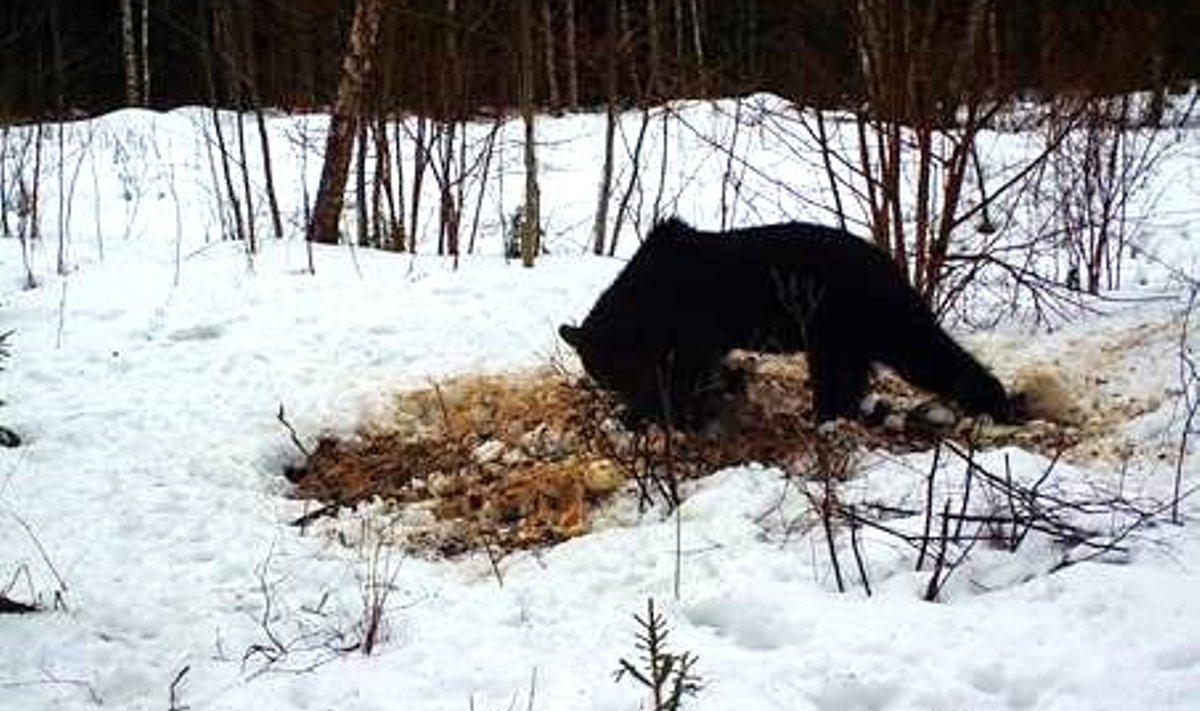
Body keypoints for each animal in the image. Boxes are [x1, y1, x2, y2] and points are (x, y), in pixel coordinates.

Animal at [556, 216, 1008, 427]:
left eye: (616, 372)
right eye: (603, 375)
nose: (626, 399)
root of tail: (891, 264)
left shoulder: (692, 323)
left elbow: (690, 372)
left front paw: (657, 416)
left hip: (847, 315)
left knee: (916, 350)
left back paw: (995, 401)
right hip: (849, 329)